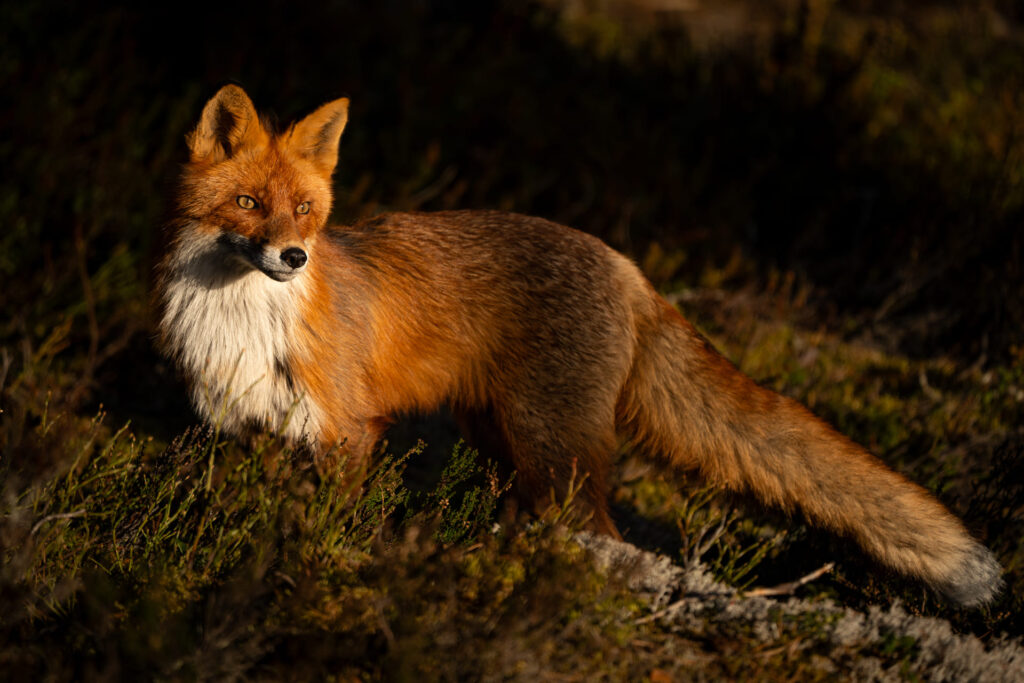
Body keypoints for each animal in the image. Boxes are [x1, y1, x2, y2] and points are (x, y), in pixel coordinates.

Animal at [157, 85, 1002, 607]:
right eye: (248, 203)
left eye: (305, 208)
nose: (295, 256)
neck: (243, 317)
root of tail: (628, 265)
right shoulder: (243, 430)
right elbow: (230, 519)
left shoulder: (344, 428)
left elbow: (325, 525)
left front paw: (318, 566)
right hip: (507, 442)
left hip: (551, 449)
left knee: (603, 535)